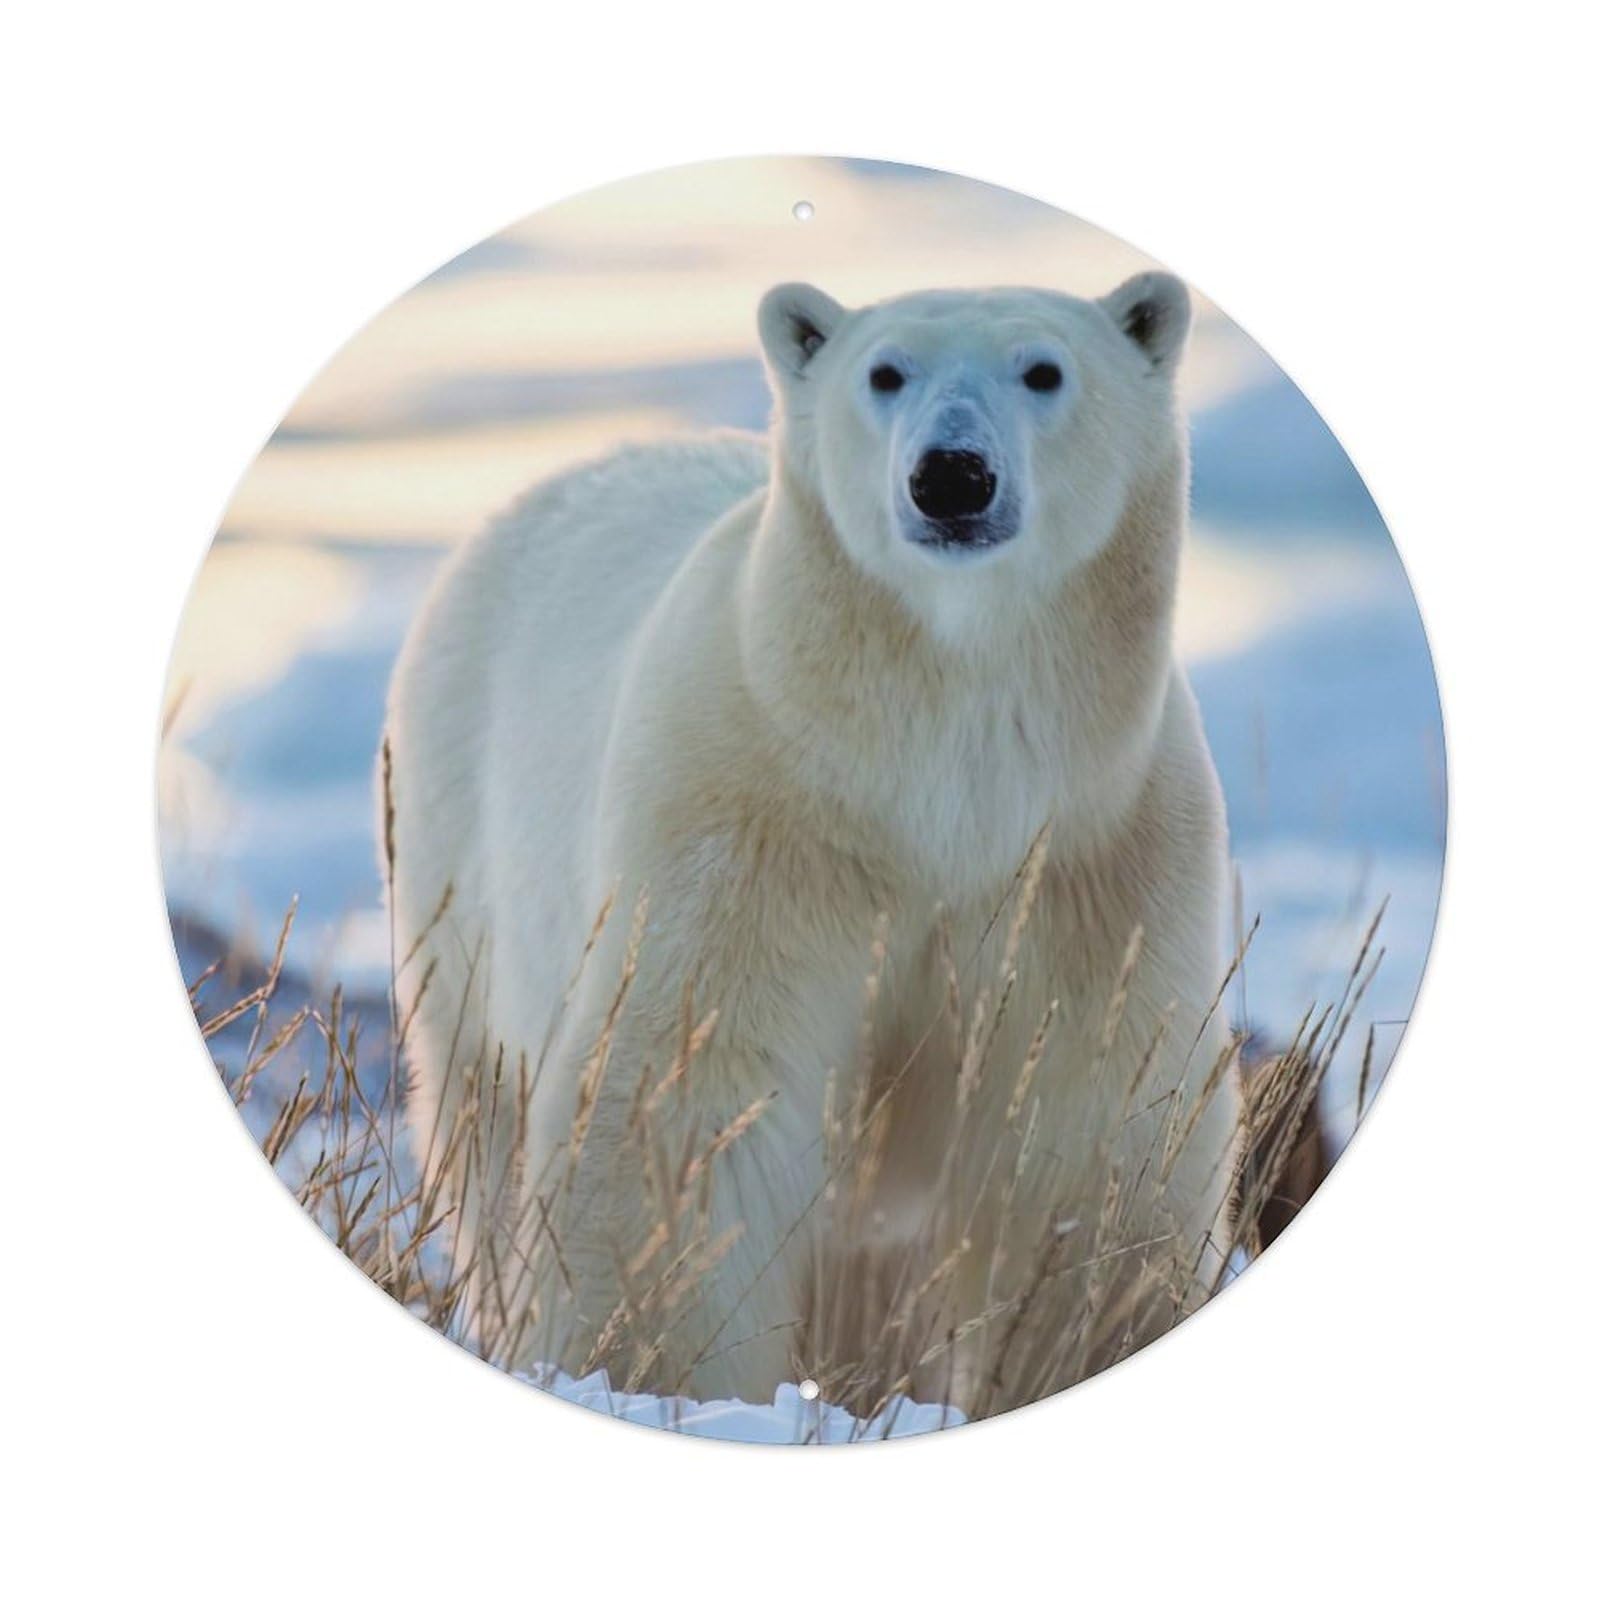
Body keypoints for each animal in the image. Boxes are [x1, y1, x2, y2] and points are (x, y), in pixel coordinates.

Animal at [382, 273, 1242, 1419]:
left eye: (1042, 369)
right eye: (884, 372)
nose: (952, 475)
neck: (937, 767)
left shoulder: (1094, 852)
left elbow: (1084, 1122)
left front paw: (1079, 1350)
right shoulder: (755, 819)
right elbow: (693, 1096)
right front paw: (650, 1375)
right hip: (456, 859)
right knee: (485, 1116)